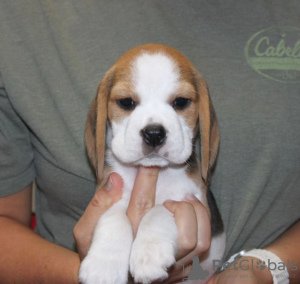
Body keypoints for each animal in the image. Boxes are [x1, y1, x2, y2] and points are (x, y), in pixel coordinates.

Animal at [79, 43, 225, 284]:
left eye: (181, 102)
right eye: (126, 102)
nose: (154, 133)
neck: (156, 171)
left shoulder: (190, 200)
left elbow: (159, 209)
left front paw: (149, 254)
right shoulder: (111, 191)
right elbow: (115, 217)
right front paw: (105, 265)